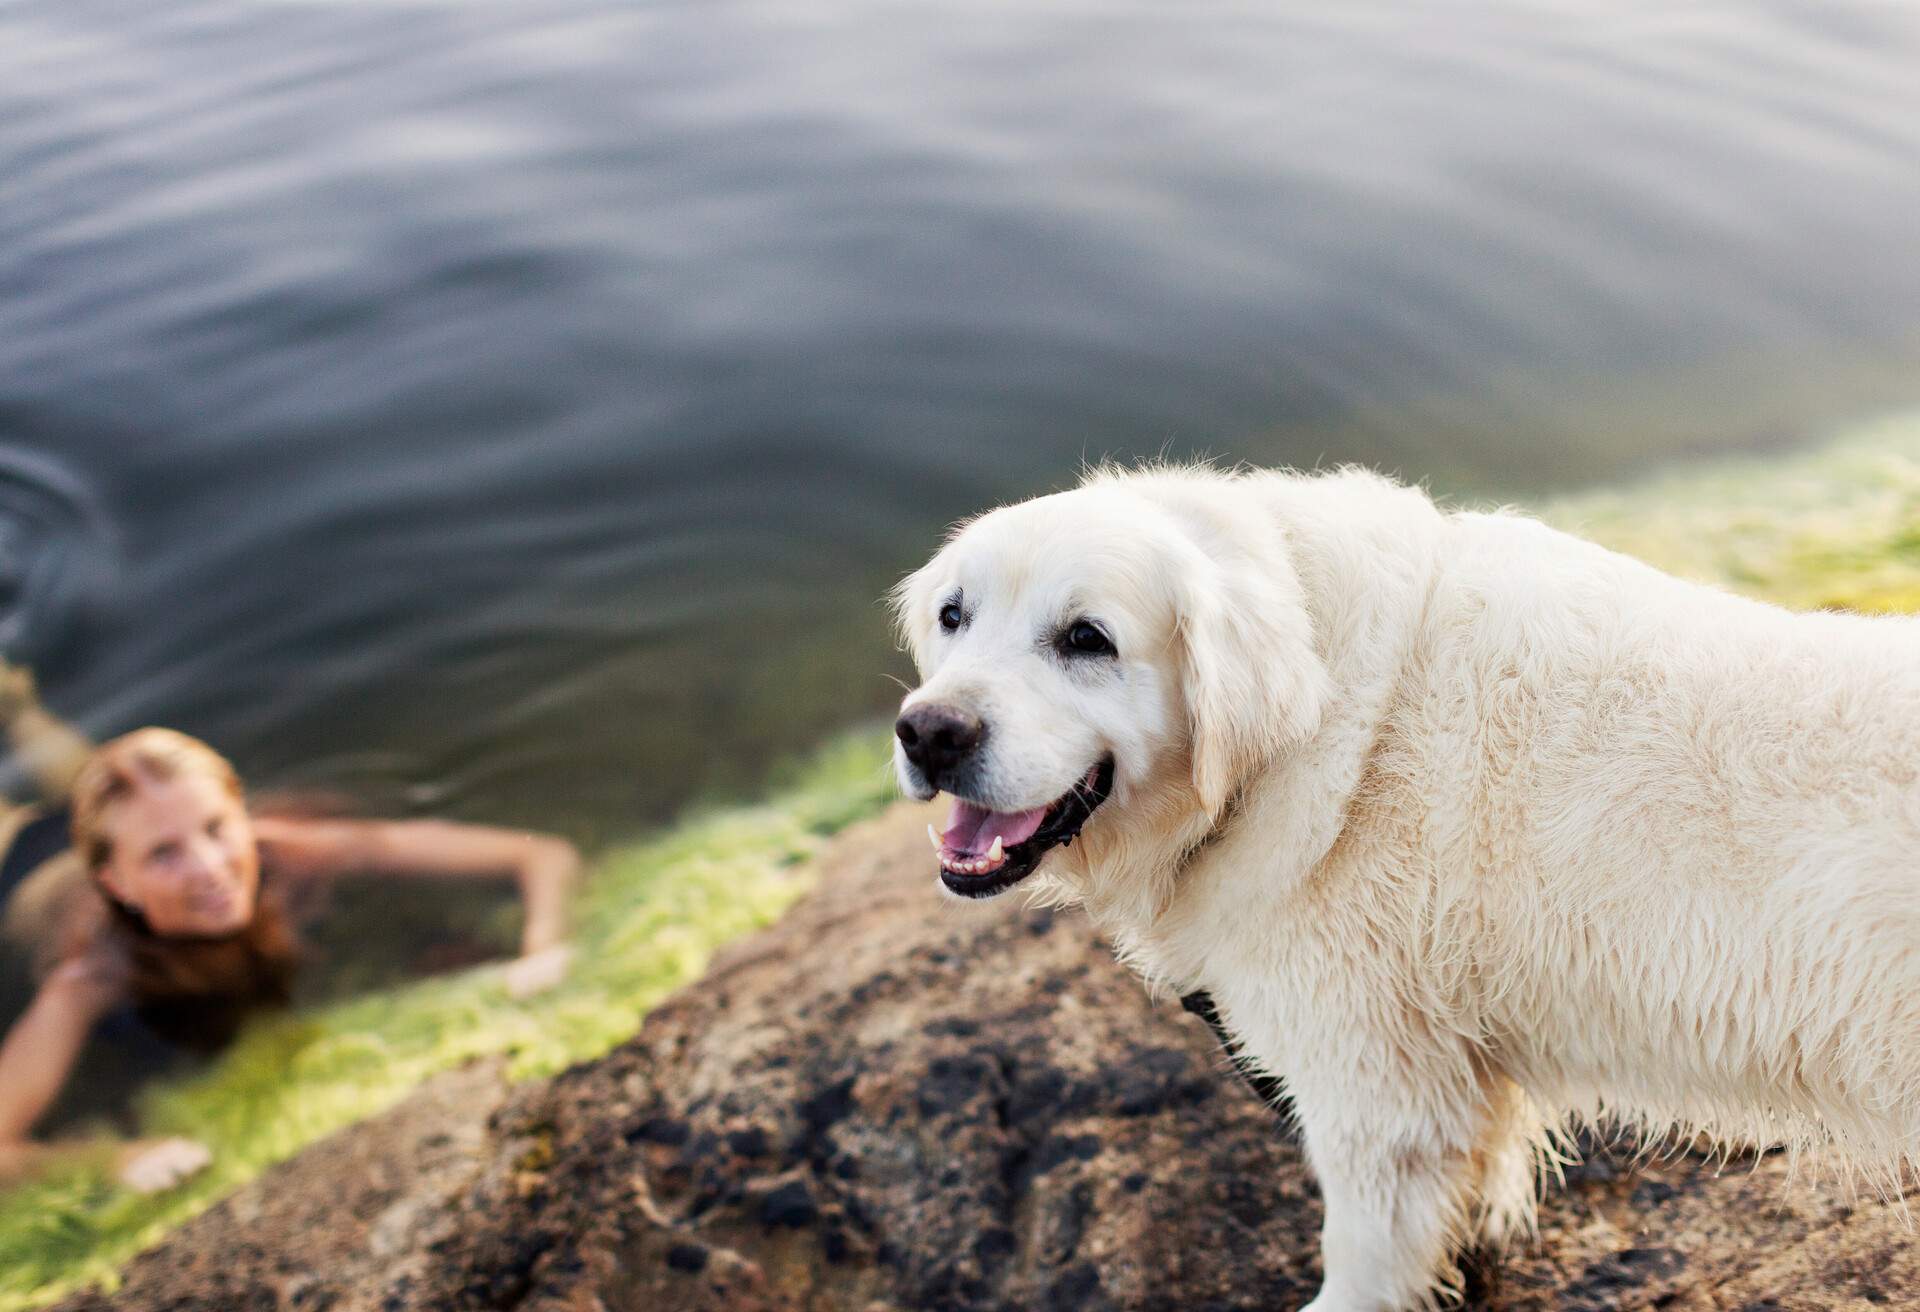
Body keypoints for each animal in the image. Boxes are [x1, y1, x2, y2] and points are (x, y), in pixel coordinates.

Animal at [890, 464, 1920, 1312]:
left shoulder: (1376, 1092)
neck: (1326, 726)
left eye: (1086, 638)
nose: (928, 731)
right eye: (953, 616)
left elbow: (1365, 1254)